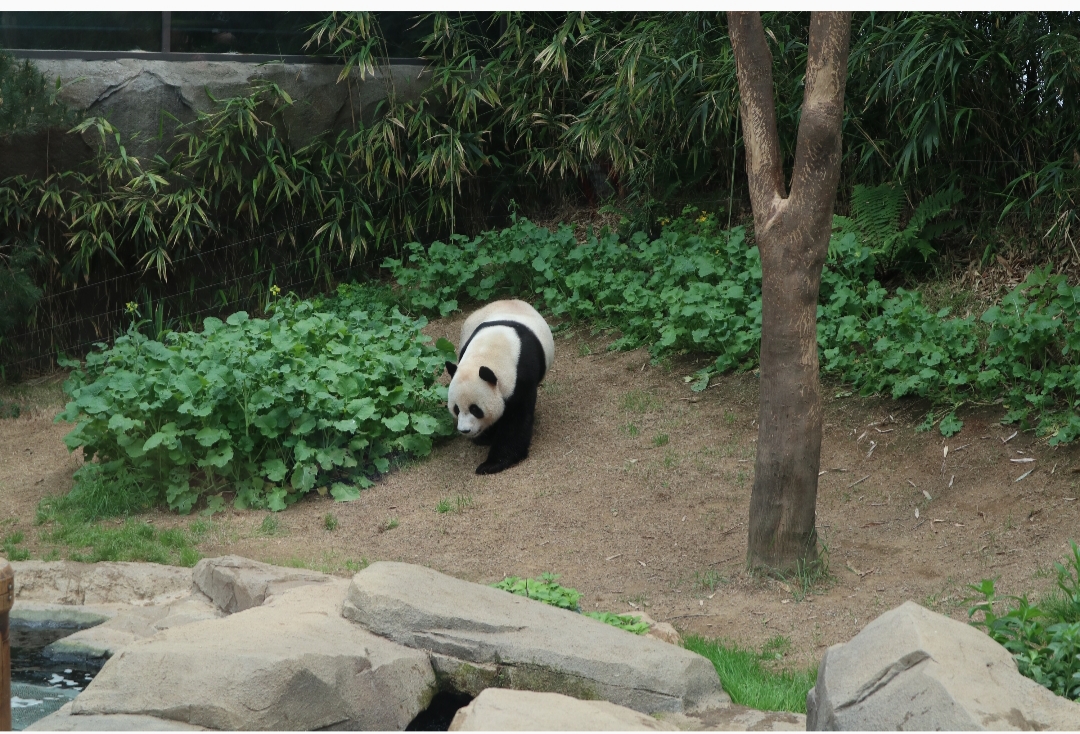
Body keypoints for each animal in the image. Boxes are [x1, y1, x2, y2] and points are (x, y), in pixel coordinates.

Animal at [445, 299, 555, 475]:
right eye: (456, 409)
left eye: (475, 409)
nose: (464, 430)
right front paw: (485, 437)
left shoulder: (521, 376)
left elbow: (516, 420)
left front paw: (492, 464)